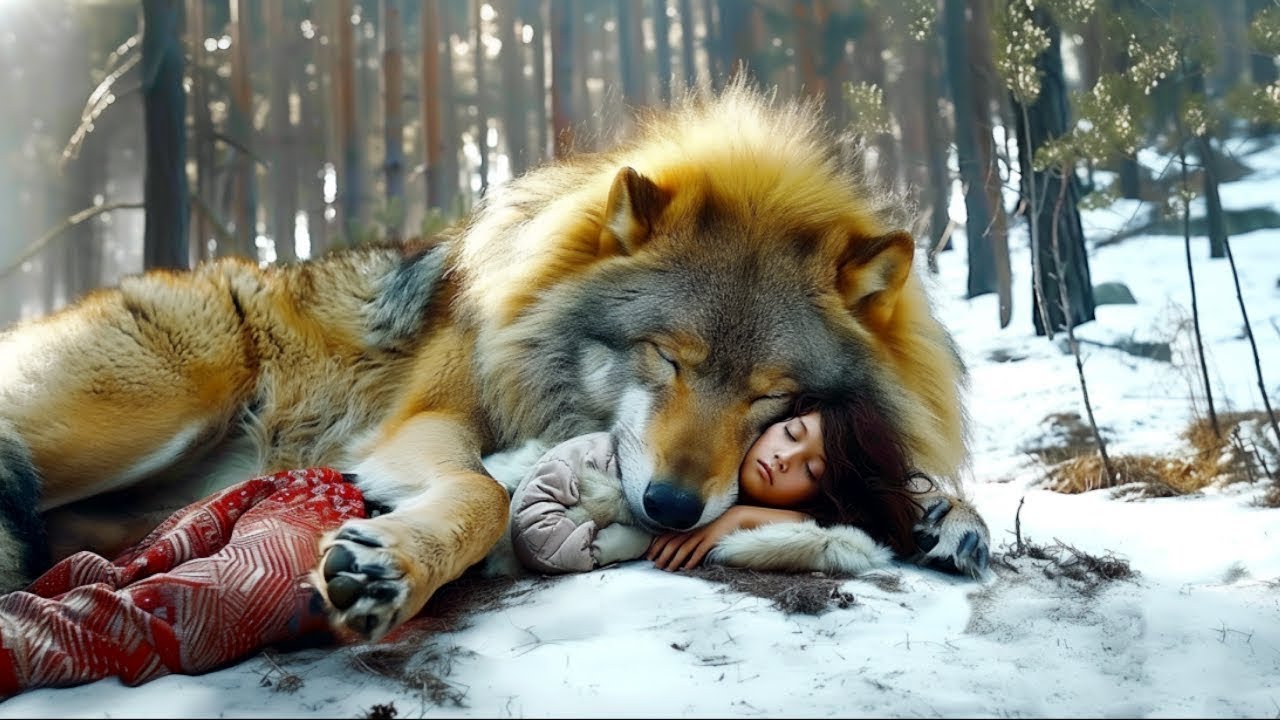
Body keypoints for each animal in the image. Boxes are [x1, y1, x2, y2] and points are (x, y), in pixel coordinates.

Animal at [0, 81, 988, 642]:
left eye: (771, 398)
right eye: (665, 359)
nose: (670, 505)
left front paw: (947, 515)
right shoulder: (425, 424)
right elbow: (479, 492)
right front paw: (392, 564)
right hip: (158, 404)